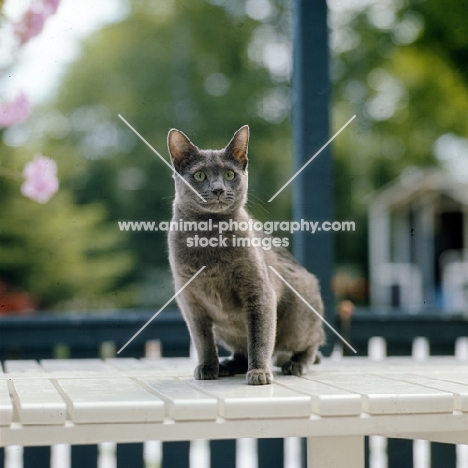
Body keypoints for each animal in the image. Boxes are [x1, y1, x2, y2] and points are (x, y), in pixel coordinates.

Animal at [168, 124, 326, 384]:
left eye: (229, 175)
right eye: (200, 176)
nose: (218, 189)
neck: (210, 236)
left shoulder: (259, 292)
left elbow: (259, 337)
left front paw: (260, 372)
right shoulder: (189, 301)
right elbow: (202, 340)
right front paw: (207, 367)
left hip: (299, 315)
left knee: (314, 341)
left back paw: (296, 363)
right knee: (241, 350)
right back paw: (227, 365)